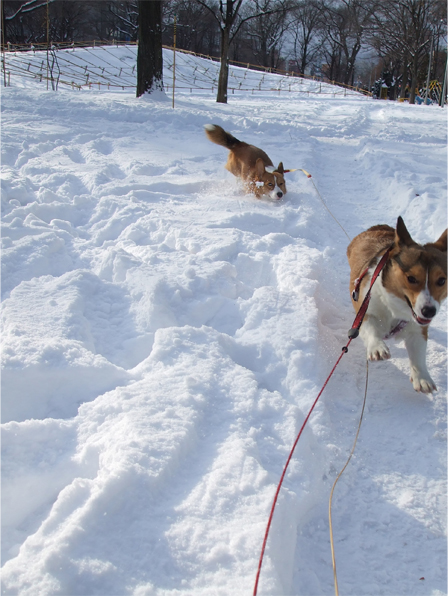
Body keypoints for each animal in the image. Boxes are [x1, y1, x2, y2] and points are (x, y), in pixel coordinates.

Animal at [347, 216, 447, 393]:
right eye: (411, 278)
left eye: (441, 280)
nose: (429, 311)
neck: (394, 307)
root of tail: (378, 227)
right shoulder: (365, 310)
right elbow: (370, 328)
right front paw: (377, 347)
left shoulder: (417, 328)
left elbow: (418, 353)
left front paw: (422, 378)